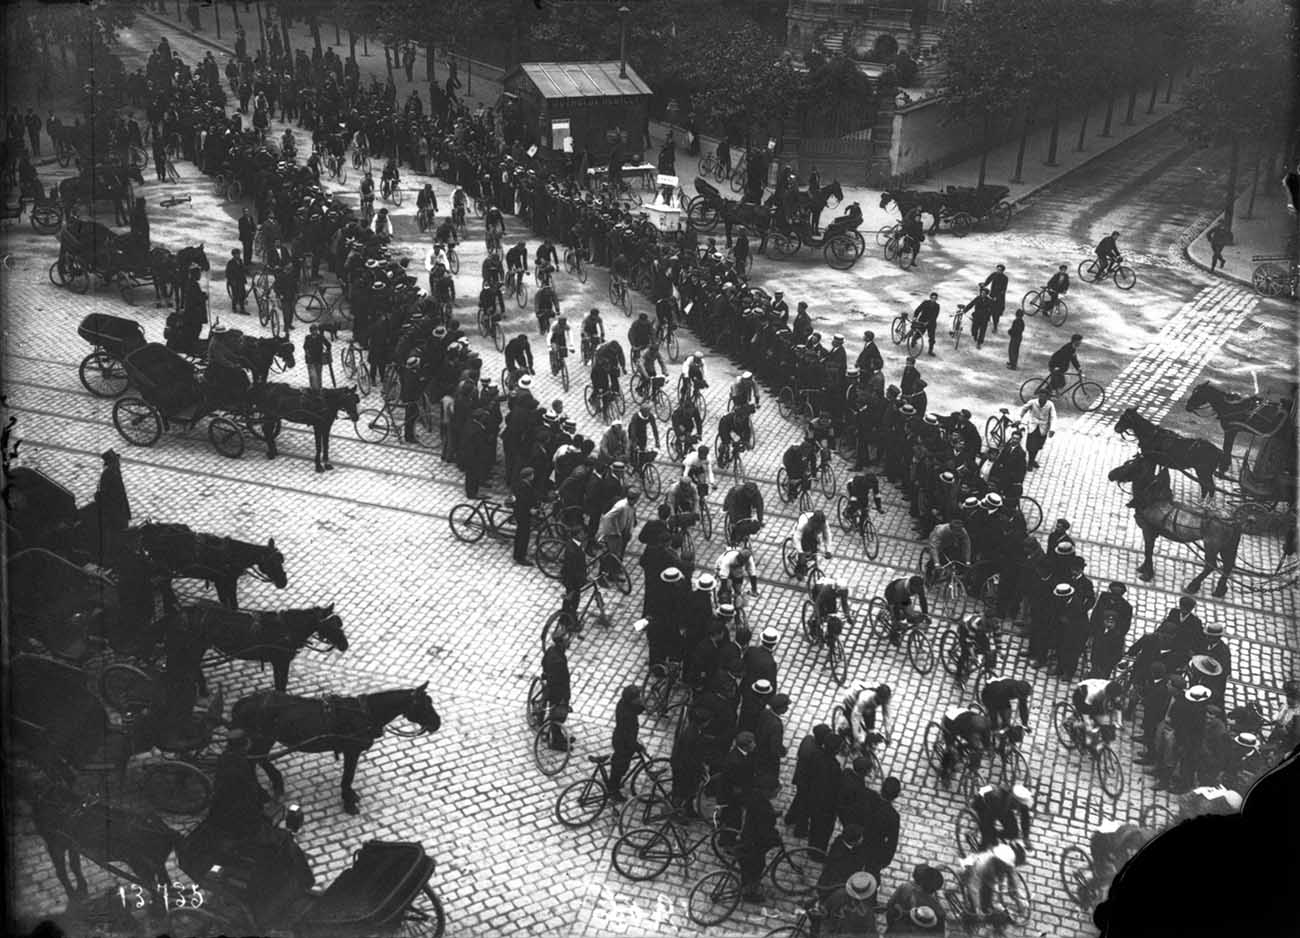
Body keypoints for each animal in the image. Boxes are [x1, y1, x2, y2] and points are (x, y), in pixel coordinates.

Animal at [115, 519, 288, 605]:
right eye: (272, 562)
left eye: (282, 559)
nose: (283, 582)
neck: (231, 555)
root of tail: (148, 529)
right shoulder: (222, 582)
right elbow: (229, 605)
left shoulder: (229, 582)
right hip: (162, 569)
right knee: (164, 586)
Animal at [165, 600, 351, 696]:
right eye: (329, 625)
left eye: (339, 622)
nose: (345, 645)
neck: (287, 628)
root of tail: (181, 613)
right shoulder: (280, 662)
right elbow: (281, 684)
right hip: (195, 648)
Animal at [228, 680, 441, 810]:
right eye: (423, 705)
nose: (437, 723)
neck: (364, 713)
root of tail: (241, 703)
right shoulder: (351, 751)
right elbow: (348, 777)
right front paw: (348, 802)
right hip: (262, 739)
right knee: (251, 761)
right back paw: (263, 793)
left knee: (258, 760)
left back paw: (276, 782)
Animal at [1102, 452, 1242, 595]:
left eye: (1132, 466)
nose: (1110, 474)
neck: (1151, 500)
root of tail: (1232, 519)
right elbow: (1148, 551)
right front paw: (1143, 568)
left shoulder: (1148, 531)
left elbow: (1148, 551)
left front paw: (1147, 574)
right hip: (1227, 547)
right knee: (1227, 566)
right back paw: (1220, 590)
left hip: (1211, 546)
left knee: (1211, 566)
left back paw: (1192, 586)